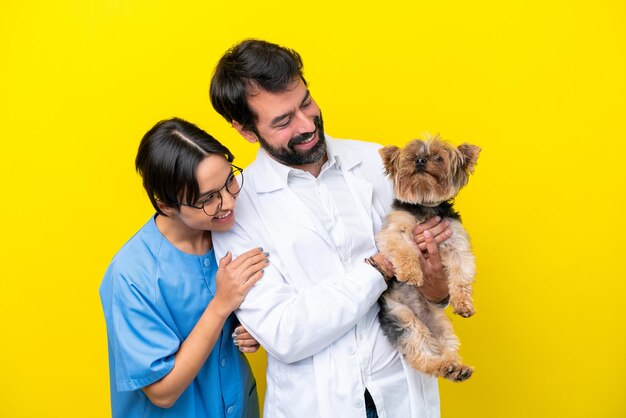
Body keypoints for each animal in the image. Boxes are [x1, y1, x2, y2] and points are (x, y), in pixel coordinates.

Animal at [376, 135, 478, 382]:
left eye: (438, 157)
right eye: (412, 156)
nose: (421, 161)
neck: (425, 207)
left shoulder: (456, 240)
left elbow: (461, 273)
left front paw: (463, 303)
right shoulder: (394, 231)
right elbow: (403, 250)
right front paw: (411, 273)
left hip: (440, 322)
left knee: (445, 346)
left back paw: (455, 368)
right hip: (400, 314)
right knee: (419, 348)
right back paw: (441, 365)